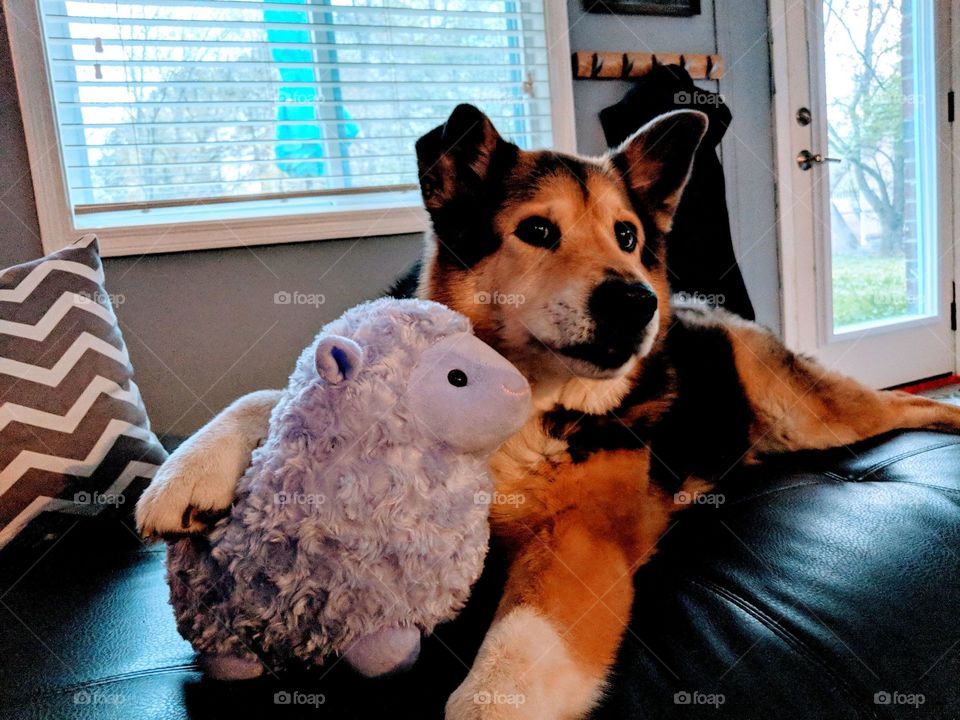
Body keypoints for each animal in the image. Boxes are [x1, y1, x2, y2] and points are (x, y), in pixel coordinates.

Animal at [137, 104, 960, 716]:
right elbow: (271, 395)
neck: (523, 402)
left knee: (891, 403)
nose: (637, 302)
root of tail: (712, 313)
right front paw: (185, 477)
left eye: (627, 236)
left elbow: (511, 663)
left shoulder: (580, 539)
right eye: (537, 230)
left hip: (810, 412)